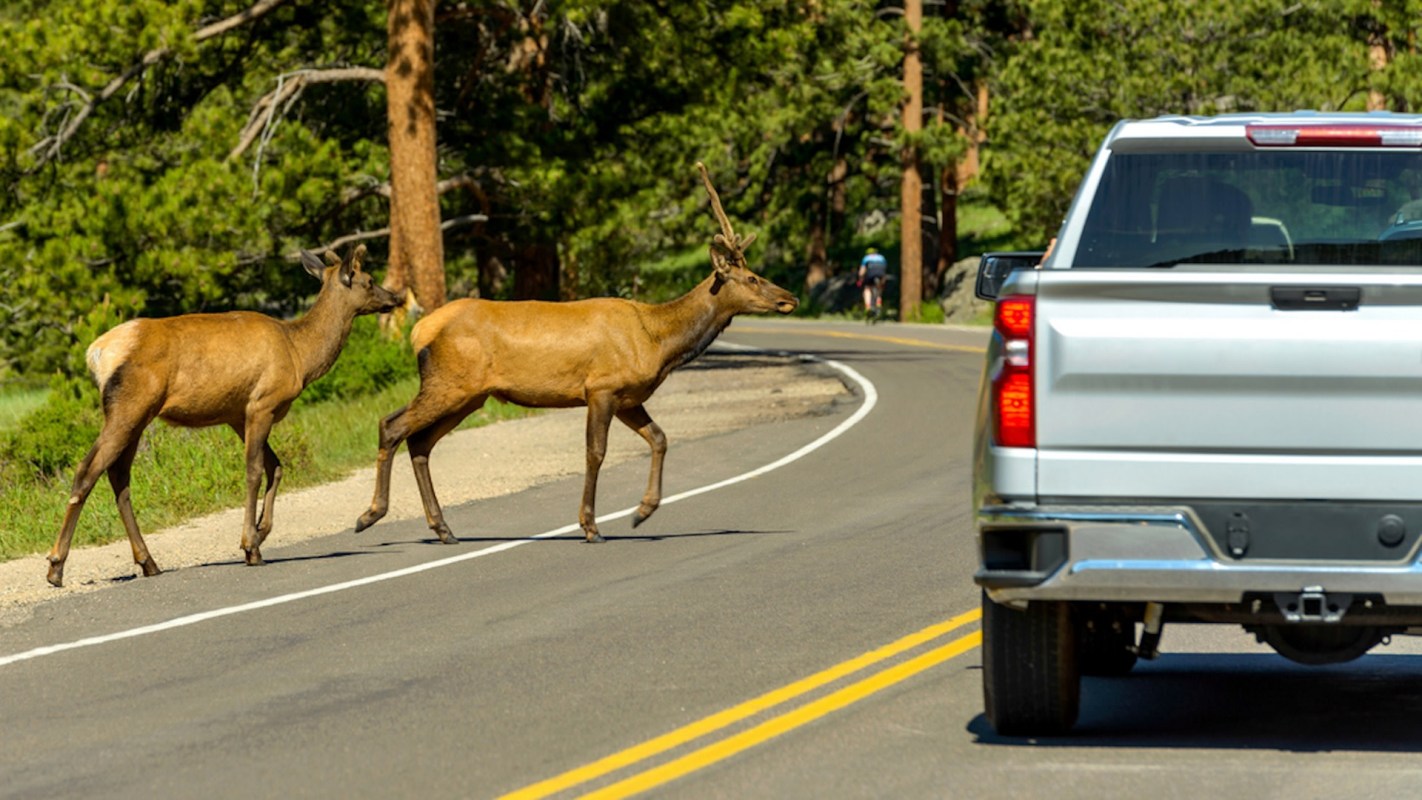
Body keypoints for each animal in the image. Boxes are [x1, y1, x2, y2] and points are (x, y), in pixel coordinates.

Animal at [47, 244, 403, 588]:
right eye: (369, 280)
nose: (395, 297)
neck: (300, 355)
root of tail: (96, 354)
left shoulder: (237, 413)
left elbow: (276, 467)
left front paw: (260, 532)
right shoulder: (262, 403)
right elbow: (254, 470)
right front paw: (250, 546)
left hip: (138, 415)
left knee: (119, 476)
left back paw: (148, 562)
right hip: (129, 406)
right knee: (87, 469)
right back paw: (56, 566)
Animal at [355, 166, 802, 548]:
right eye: (751, 278)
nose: (790, 298)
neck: (658, 340)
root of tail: (419, 332)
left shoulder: (628, 396)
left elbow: (659, 438)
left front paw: (642, 511)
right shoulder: (601, 388)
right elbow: (596, 452)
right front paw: (591, 526)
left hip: (470, 395)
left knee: (420, 441)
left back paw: (444, 528)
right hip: (449, 382)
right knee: (392, 424)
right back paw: (370, 515)